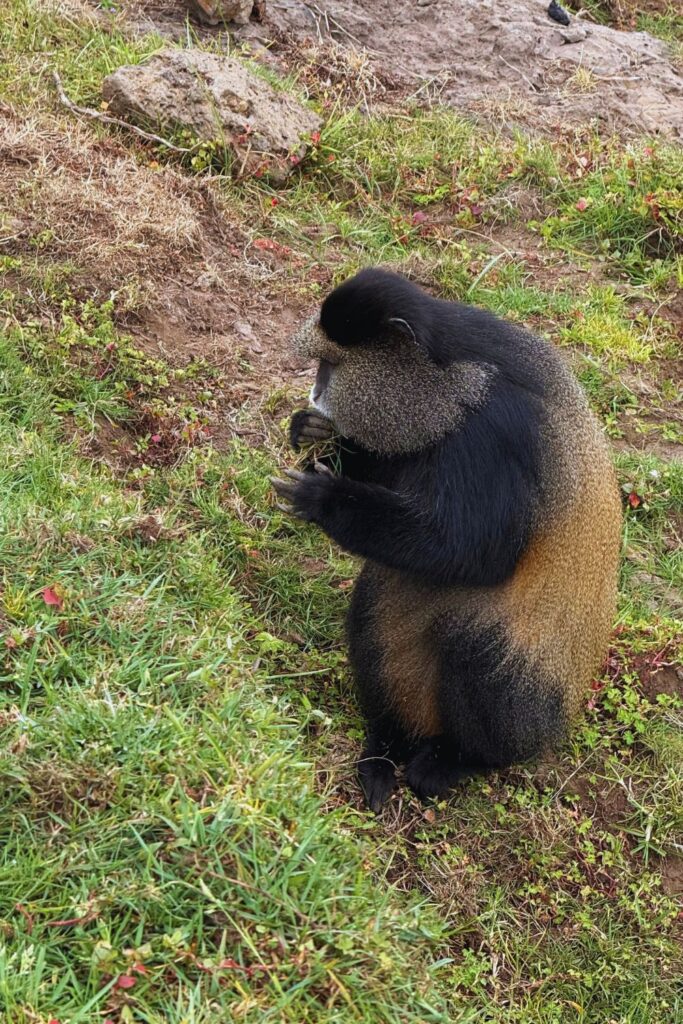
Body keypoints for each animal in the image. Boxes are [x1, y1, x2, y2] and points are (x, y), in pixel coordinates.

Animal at [272, 268, 621, 812]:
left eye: (331, 365)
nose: (315, 393)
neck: (455, 379)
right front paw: (308, 431)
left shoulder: (495, 433)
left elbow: (473, 552)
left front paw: (324, 498)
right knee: (376, 593)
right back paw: (385, 746)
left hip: (523, 700)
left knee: (477, 649)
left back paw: (457, 761)